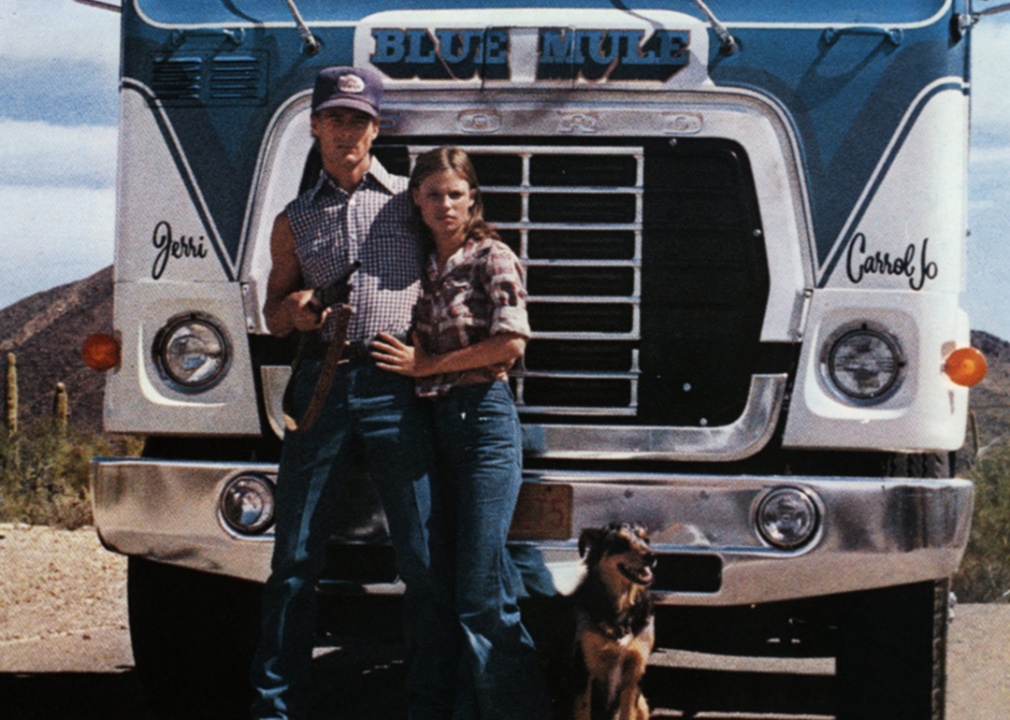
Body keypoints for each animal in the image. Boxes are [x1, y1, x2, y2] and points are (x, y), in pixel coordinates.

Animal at [569, 521, 654, 718]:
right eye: (620, 543)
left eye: (646, 539)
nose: (652, 556)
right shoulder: (584, 672)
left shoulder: (634, 675)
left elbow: (628, 714)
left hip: (643, 703)